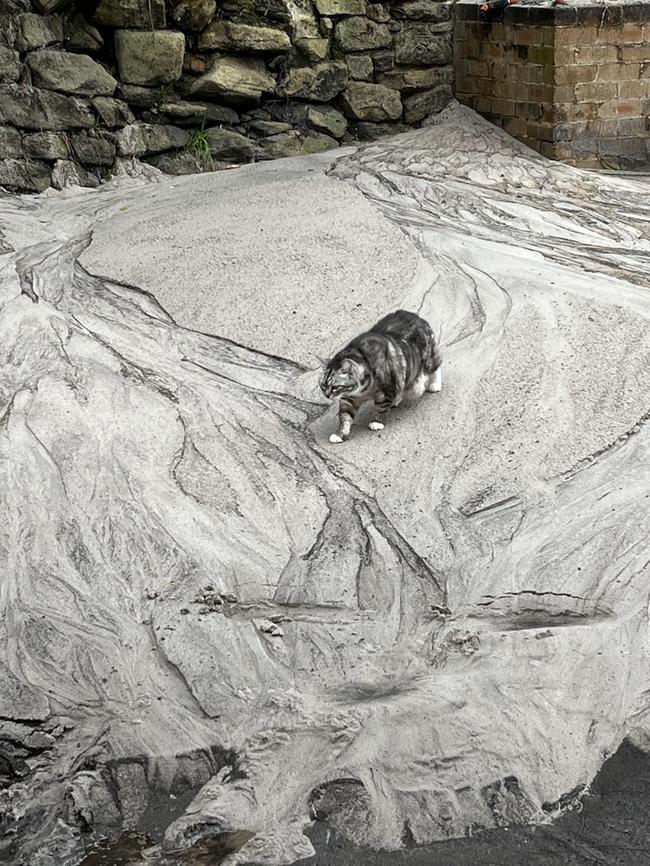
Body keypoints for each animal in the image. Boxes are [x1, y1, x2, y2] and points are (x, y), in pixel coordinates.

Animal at [318, 308, 440, 442]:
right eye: (323, 386)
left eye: (335, 387)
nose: (327, 395)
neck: (362, 390)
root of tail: (414, 315)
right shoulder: (348, 400)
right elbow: (345, 418)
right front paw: (340, 434)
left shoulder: (387, 390)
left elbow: (381, 408)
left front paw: (377, 422)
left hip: (427, 359)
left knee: (436, 366)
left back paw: (435, 385)